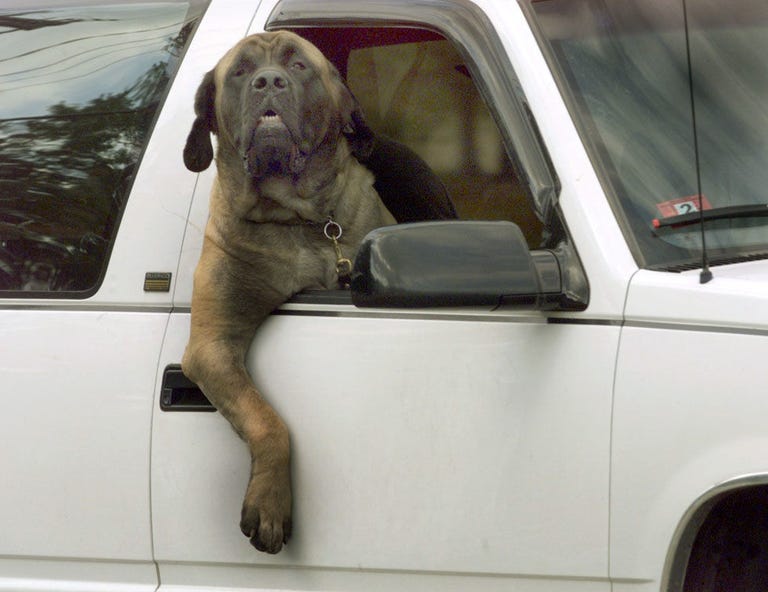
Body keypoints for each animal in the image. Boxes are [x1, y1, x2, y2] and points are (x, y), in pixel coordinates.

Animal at [182, 31, 396, 556]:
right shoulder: (213, 344)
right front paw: (270, 504)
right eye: (240, 71)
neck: (296, 219)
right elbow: (267, 420)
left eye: (298, 65)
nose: (268, 82)